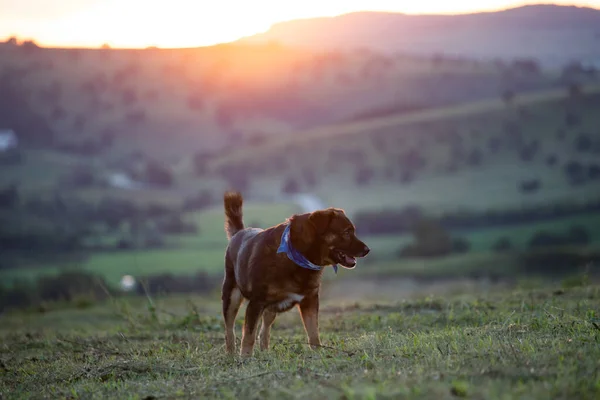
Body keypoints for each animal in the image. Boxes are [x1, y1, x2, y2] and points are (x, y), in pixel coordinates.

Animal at [221, 191, 368, 356]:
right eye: (347, 232)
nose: (367, 250)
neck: (297, 254)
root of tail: (239, 232)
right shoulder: (256, 303)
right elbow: (249, 335)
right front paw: (245, 357)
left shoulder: (310, 301)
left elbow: (313, 334)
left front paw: (318, 354)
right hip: (231, 297)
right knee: (229, 330)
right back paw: (231, 353)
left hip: (271, 308)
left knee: (265, 330)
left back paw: (265, 352)